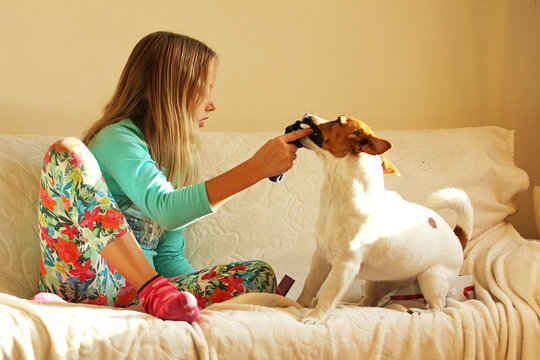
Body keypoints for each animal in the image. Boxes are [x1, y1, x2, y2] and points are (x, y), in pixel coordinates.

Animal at [296, 114, 472, 324]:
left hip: (432, 278)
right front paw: (296, 305)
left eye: (339, 120)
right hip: (377, 282)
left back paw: (419, 311)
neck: (335, 195)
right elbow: (309, 286)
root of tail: (457, 236)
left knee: (439, 308)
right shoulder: (321, 257)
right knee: (368, 302)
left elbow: (327, 295)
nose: (308, 115)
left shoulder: (345, 266)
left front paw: (315, 318)